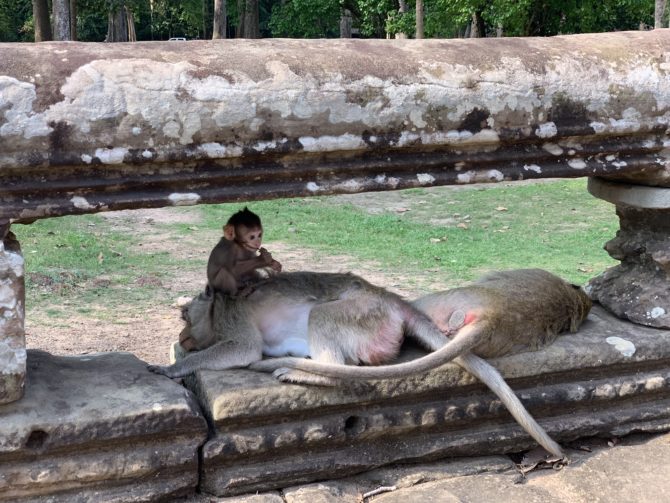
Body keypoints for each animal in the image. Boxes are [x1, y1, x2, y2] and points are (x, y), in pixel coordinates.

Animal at [150, 272, 592, 460]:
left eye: (185, 315)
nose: (184, 335)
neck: (219, 309)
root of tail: (394, 301)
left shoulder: (233, 317)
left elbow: (242, 349)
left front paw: (173, 368)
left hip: (361, 312)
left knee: (327, 327)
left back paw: (308, 371)